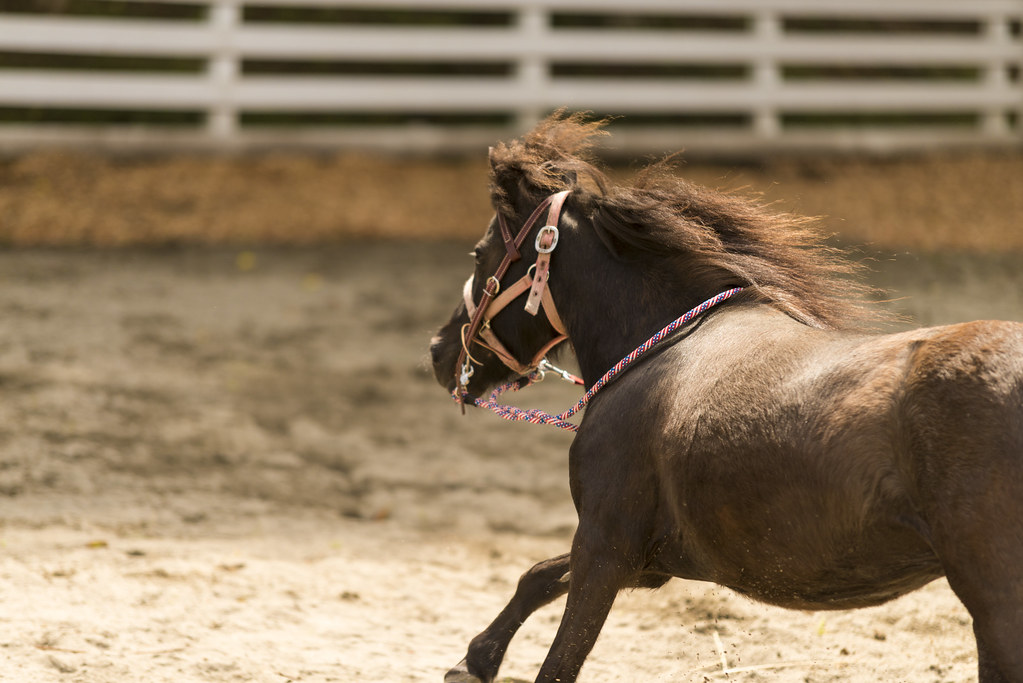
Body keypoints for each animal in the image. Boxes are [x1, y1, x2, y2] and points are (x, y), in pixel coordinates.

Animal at [428, 112, 1023, 683]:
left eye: (479, 255)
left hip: (995, 605)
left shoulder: (605, 545)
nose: (438, 351)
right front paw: (473, 661)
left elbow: (556, 658)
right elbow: (537, 575)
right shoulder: (648, 560)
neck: (662, 343)